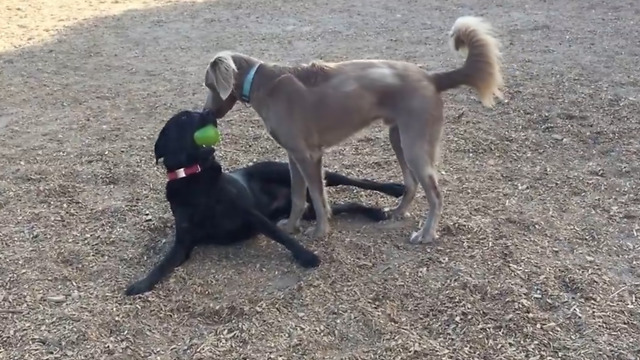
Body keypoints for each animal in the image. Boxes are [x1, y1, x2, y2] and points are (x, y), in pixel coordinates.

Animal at [125, 109, 404, 296]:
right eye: (184, 118)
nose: (209, 112)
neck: (195, 178)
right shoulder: (183, 242)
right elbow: (163, 264)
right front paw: (141, 283)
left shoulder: (251, 214)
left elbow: (281, 237)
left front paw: (307, 256)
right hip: (307, 211)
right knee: (340, 208)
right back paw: (374, 212)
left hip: (302, 174)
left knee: (356, 181)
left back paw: (395, 189)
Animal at [202, 15, 502, 243]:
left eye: (208, 85)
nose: (207, 113)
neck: (262, 83)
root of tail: (431, 78)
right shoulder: (293, 156)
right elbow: (298, 196)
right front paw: (290, 226)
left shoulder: (309, 156)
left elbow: (317, 198)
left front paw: (320, 231)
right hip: (399, 139)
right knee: (412, 183)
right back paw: (396, 213)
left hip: (415, 145)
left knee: (436, 195)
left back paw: (426, 235)